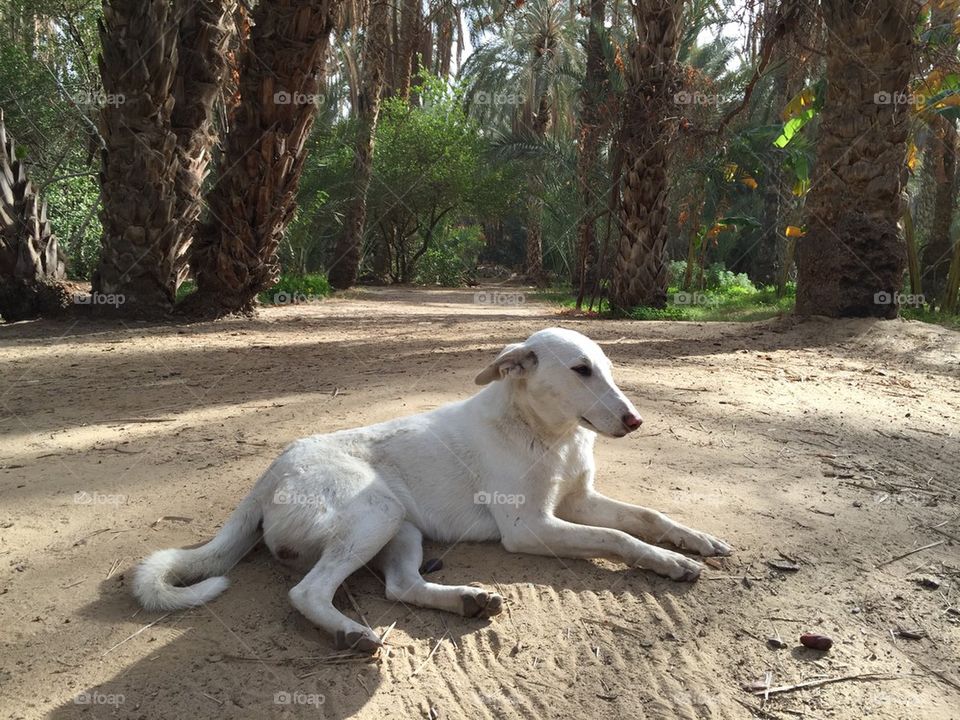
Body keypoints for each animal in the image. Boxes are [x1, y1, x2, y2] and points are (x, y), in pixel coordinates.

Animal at [135, 330, 732, 648]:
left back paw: (466, 599)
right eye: (581, 370)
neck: (549, 435)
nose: (635, 420)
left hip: (401, 527)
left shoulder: (578, 501)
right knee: (308, 590)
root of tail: (268, 474)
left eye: (608, 368)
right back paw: (352, 633)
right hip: (373, 513)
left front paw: (692, 543)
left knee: (399, 587)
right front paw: (669, 563)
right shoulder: (531, 527)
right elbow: (618, 540)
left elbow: (647, 518)